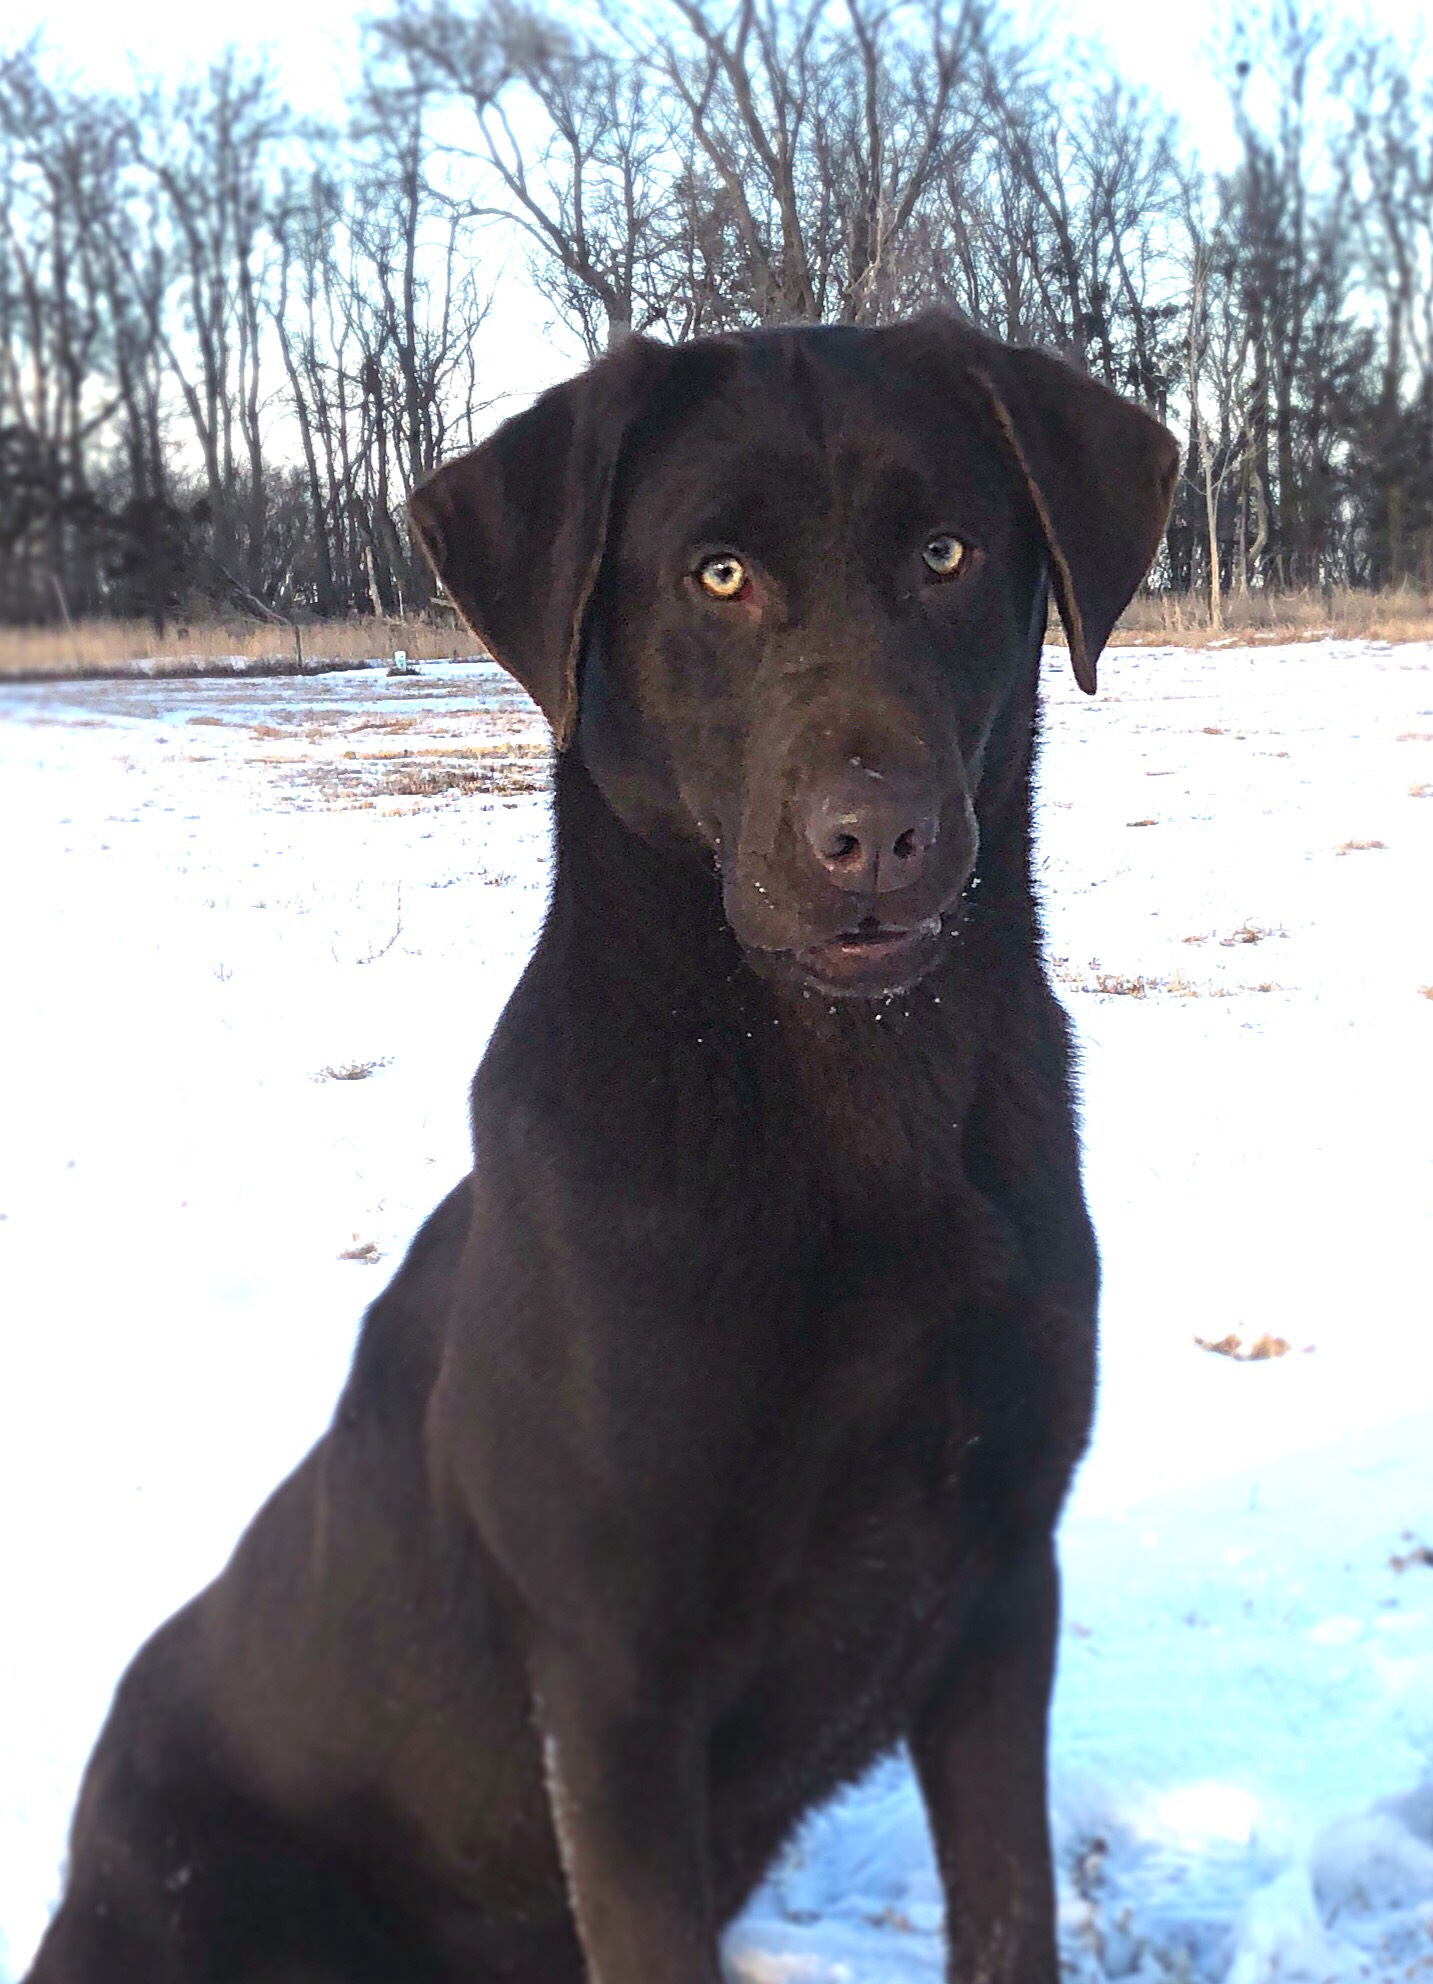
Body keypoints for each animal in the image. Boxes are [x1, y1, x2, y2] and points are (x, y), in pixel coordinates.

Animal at [27, 317, 1174, 1976]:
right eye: (717, 574)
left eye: (947, 551)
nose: (872, 839)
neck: (853, 1108)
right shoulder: (615, 1687)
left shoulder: (1001, 1586)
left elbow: (1011, 1909)